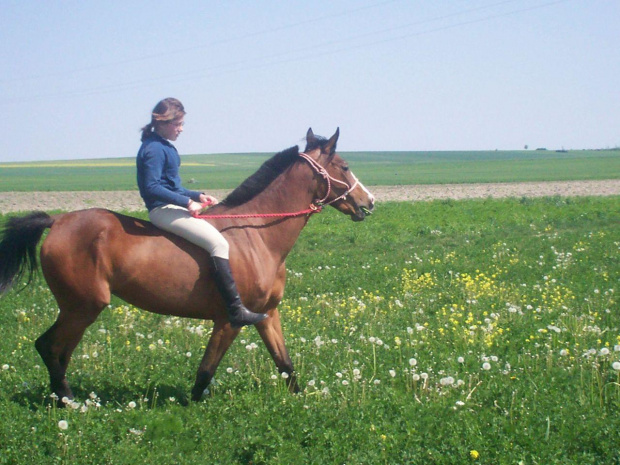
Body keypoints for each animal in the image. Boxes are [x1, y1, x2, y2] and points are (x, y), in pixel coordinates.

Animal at [0, 128, 372, 402]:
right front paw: (191, 409)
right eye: (345, 166)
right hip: (83, 306)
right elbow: (206, 371)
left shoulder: (267, 314)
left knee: (55, 349)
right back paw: (68, 401)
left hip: (78, 308)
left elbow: (285, 363)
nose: (368, 202)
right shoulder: (229, 320)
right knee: (51, 347)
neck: (256, 234)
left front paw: (302, 401)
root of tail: (58, 221)